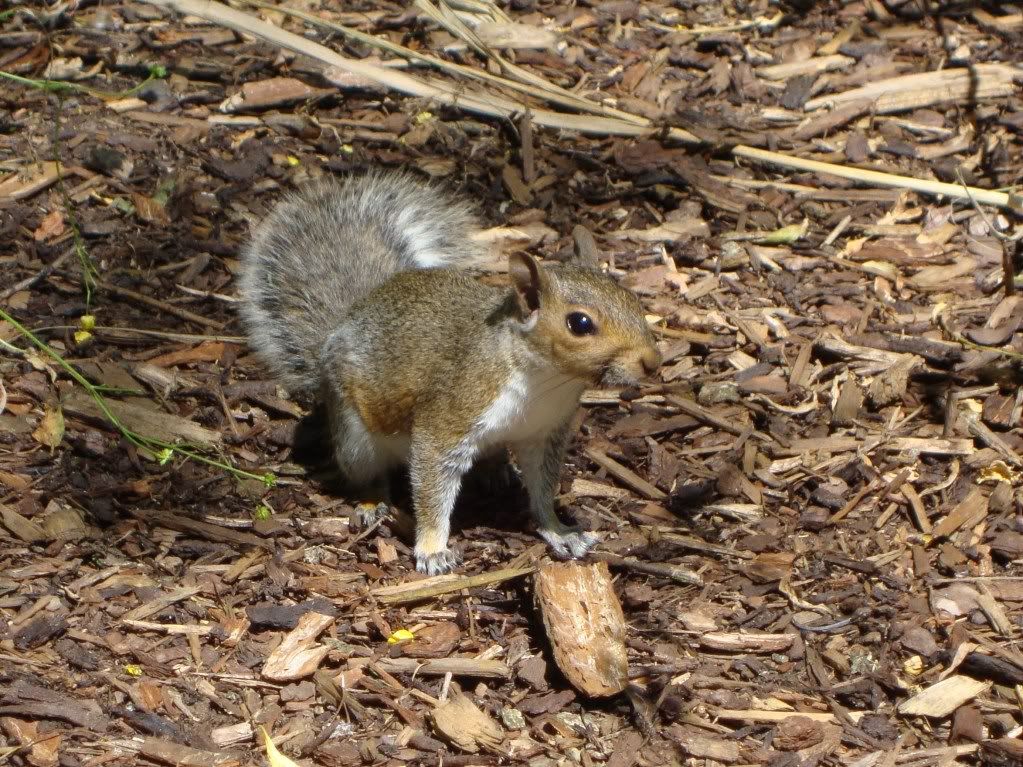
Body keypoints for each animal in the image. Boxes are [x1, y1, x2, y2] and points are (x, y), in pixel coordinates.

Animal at [237, 169, 662, 576]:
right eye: (580, 323)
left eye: (633, 299)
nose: (652, 361)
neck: (543, 380)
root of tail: (346, 320)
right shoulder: (449, 416)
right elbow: (432, 485)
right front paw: (432, 550)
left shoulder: (543, 434)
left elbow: (542, 489)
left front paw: (559, 530)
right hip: (356, 435)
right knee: (366, 471)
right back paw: (373, 502)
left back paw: (495, 470)